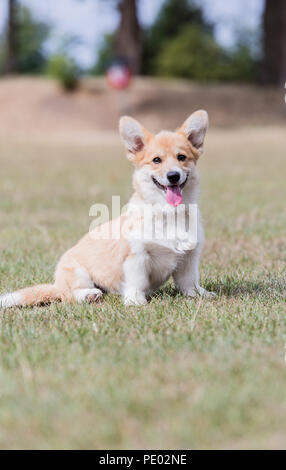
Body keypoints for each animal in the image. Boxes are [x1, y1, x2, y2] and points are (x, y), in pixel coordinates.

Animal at [0, 109, 214, 308]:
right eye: (156, 160)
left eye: (181, 157)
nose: (173, 176)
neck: (168, 213)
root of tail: (56, 284)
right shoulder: (136, 256)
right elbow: (137, 281)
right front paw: (135, 301)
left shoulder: (189, 258)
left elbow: (188, 282)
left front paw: (198, 294)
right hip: (78, 273)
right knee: (67, 296)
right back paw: (88, 295)